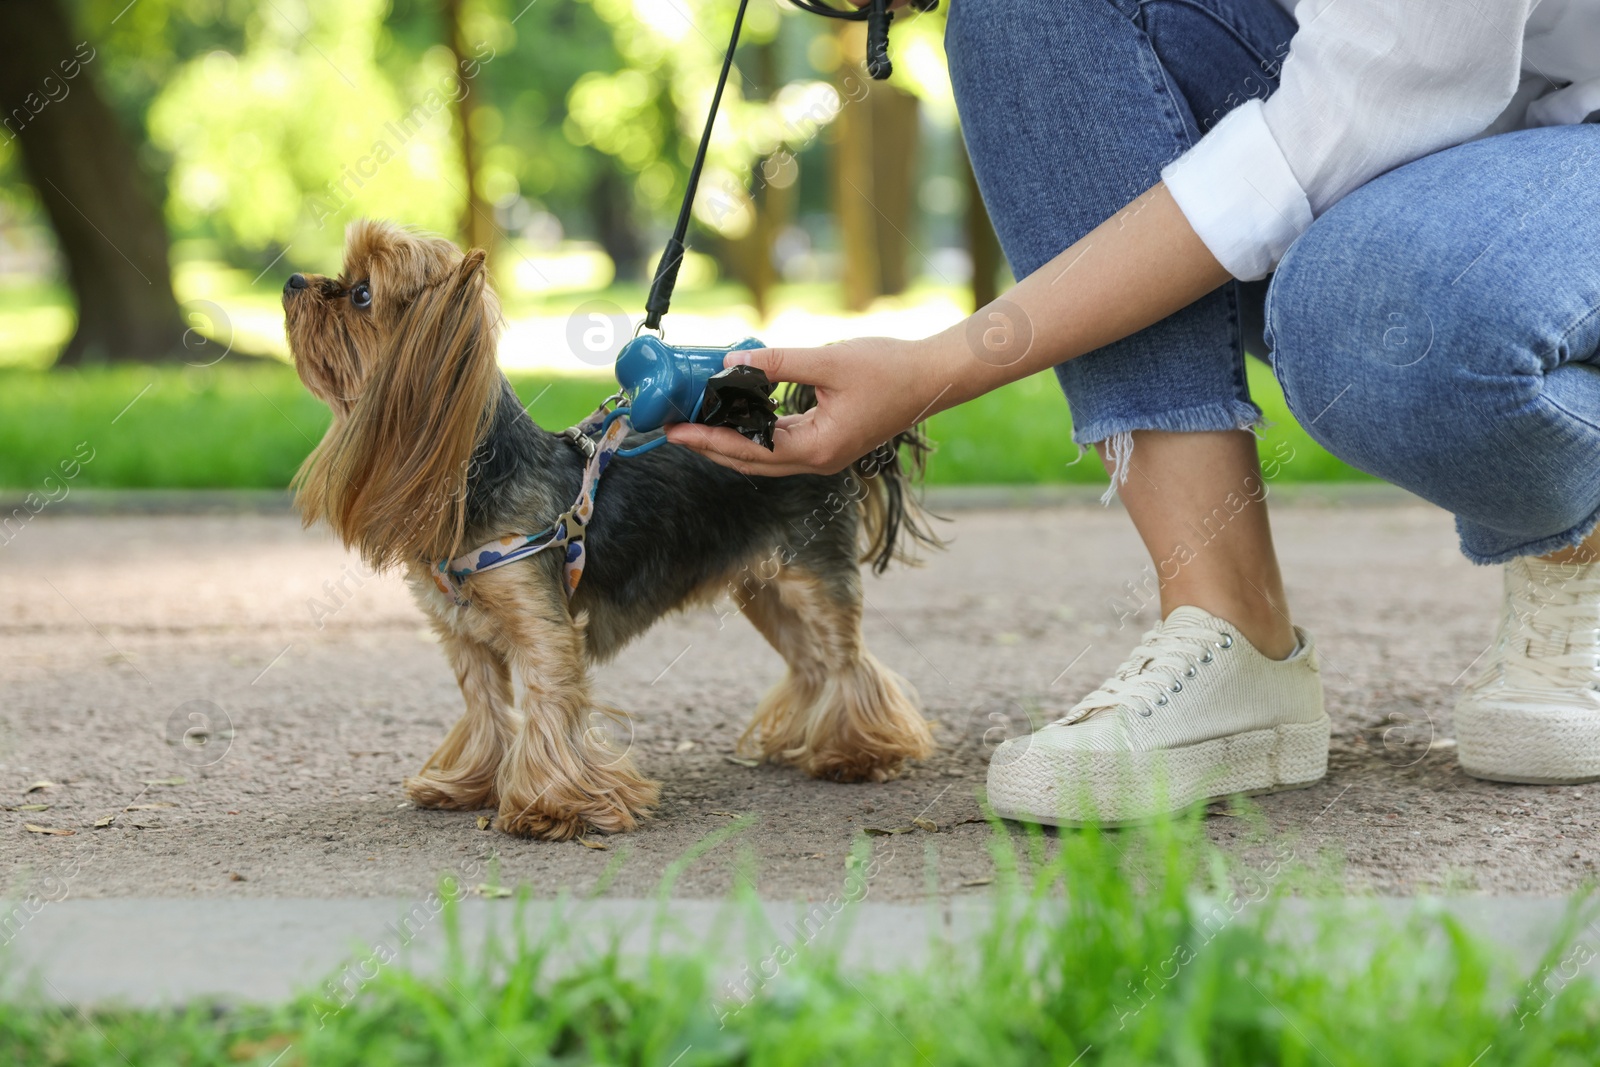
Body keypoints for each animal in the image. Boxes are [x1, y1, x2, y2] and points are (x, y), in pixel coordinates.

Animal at [283, 223, 940, 844]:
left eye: (361, 294)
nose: (292, 281)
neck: (474, 478)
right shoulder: (463, 637)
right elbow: (485, 706)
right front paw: (469, 784)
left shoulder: (543, 626)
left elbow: (550, 704)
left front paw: (554, 808)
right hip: (764, 588)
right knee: (812, 662)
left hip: (812, 574)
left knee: (846, 658)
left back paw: (858, 753)